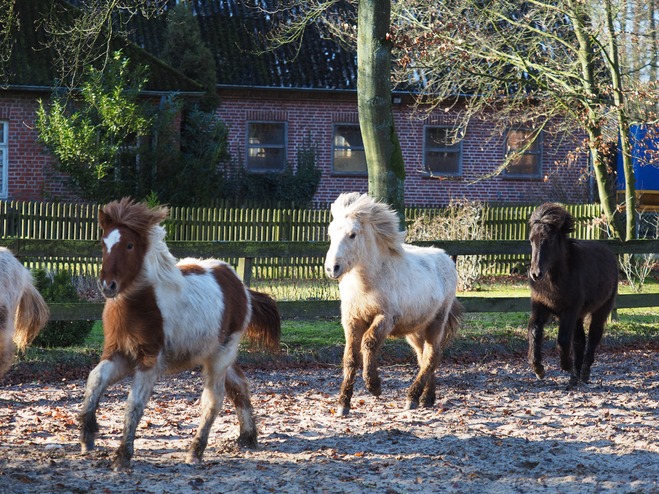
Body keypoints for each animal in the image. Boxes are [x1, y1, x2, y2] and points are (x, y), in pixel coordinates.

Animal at [80, 198, 282, 470]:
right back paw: (247, 438)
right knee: (239, 384)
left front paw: (123, 455)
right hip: (214, 352)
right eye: (104, 243)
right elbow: (95, 378)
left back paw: (195, 450)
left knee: (214, 399)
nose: (107, 286)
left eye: (130, 245)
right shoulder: (118, 354)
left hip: (222, 354)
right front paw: (87, 434)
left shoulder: (150, 360)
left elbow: (134, 404)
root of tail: (240, 286)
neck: (141, 303)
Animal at [326, 191, 464, 414]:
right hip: (416, 329)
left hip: (437, 321)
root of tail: (447, 260)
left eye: (353, 234)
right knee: (424, 356)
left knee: (432, 355)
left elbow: (369, 343)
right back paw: (427, 398)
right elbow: (350, 358)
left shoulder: (385, 318)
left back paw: (413, 397)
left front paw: (374, 386)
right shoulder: (351, 320)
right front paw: (343, 404)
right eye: (330, 234)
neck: (367, 283)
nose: (332, 268)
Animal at [524, 203, 620, 388]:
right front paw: (538, 369)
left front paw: (566, 365)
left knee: (593, 337)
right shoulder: (541, 307)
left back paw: (583, 373)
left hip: (601, 309)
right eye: (531, 240)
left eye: (550, 240)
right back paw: (575, 378)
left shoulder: (569, 310)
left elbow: (562, 339)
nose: (536, 274)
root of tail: (609, 253)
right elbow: (534, 330)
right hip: (579, 316)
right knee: (580, 342)